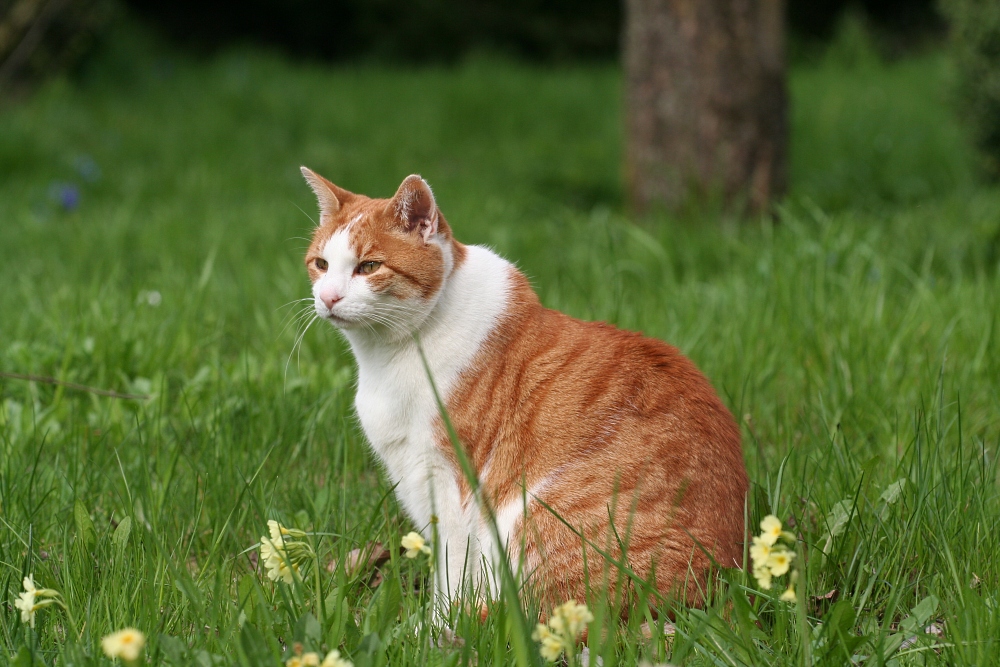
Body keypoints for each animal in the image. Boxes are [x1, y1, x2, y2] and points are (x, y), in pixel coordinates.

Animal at [300, 168, 748, 612]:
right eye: (321, 264)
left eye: (369, 266)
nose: (328, 297)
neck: (388, 354)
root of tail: (715, 586)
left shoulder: (450, 482)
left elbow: (451, 575)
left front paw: (438, 627)